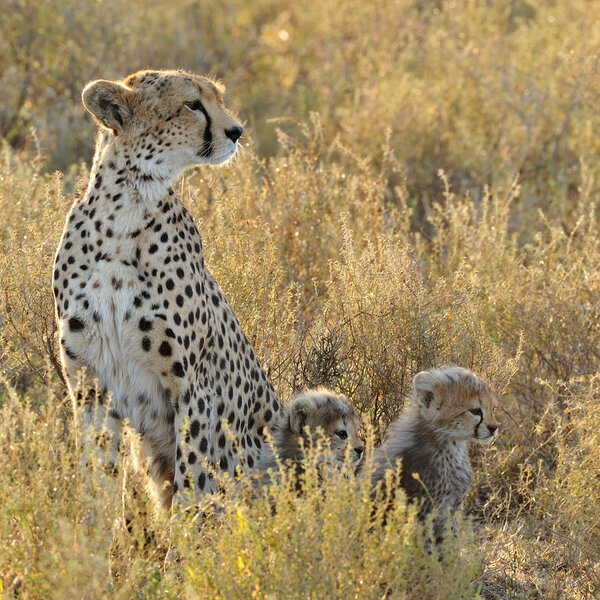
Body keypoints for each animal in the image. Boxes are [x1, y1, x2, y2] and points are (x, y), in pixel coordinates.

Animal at [53, 68, 282, 504]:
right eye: (192, 104)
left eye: (217, 98)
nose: (237, 131)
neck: (124, 212)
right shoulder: (90, 384)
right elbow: (99, 476)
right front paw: (91, 525)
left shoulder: (194, 388)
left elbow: (193, 479)